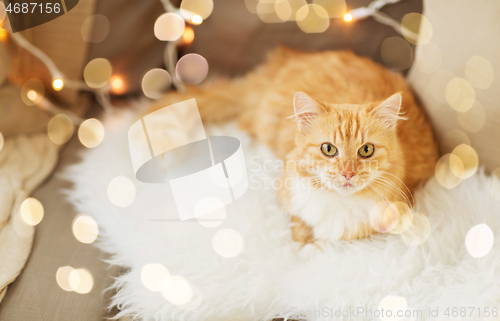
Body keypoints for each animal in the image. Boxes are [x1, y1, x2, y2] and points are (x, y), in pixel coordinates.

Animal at [153, 47, 438, 242]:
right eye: (328, 149)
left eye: (366, 150)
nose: (347, 173)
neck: (337, 203)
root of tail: (287, 59)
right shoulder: (292, 199)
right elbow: (299, 230)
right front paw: (304, 244)